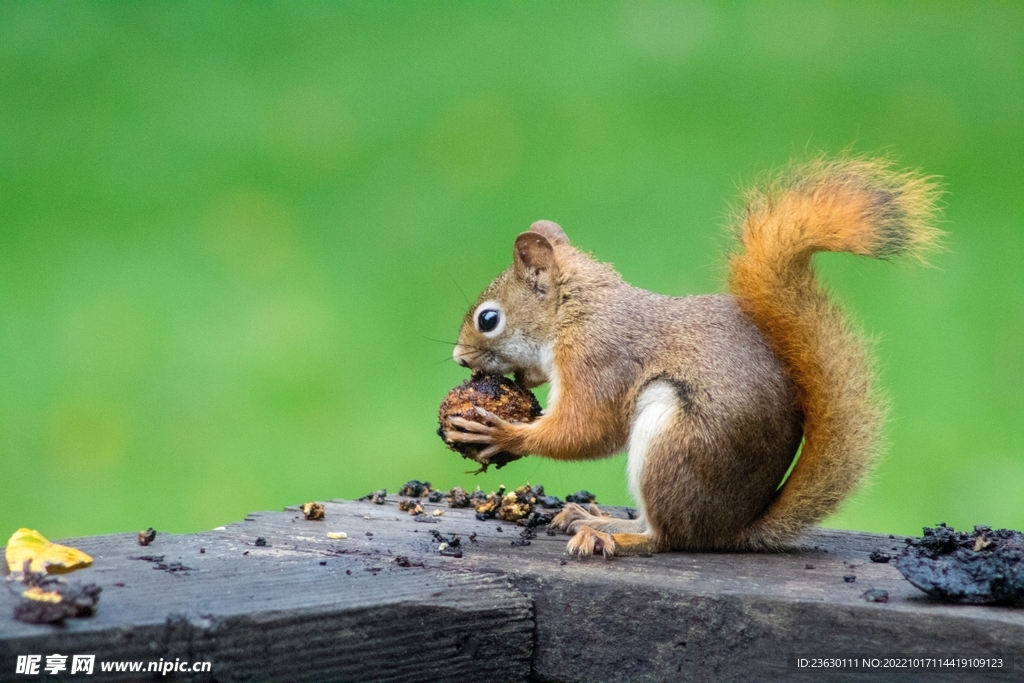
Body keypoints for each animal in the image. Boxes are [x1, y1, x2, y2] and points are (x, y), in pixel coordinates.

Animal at [444, 158, 937, 557]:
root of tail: (731, 530)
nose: (459, 358)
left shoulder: (599, 358)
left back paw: (612, 536)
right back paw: (592, 517)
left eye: (489, 319)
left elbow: (587, 430)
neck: (577, 311)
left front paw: (503, 432)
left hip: (672, 442)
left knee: (666, 538)